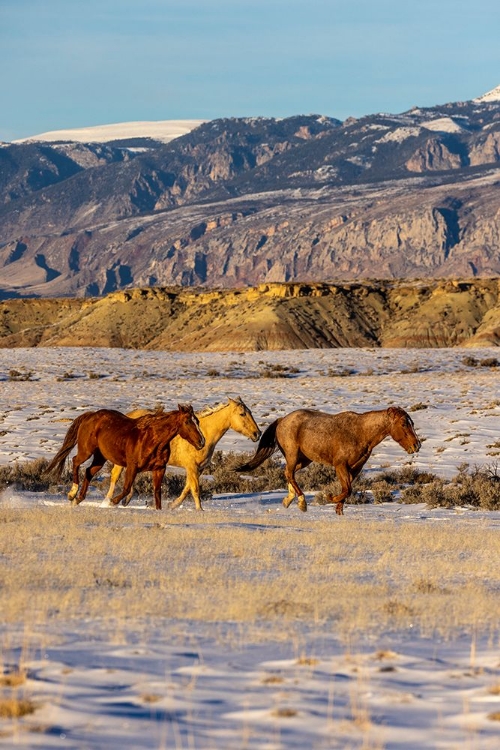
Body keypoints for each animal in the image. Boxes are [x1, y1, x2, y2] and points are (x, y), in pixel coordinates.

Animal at [45, 406, 205, 512]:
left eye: (197, 421)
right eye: (188, 422)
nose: (202, 442)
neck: (153, 439)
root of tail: (91, 415)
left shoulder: (159, 469)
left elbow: (157, 492)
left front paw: (158, 510)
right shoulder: (132, 466)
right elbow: (127, 488)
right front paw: (112, 502)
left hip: (100, 457)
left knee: (89, 471)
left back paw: (78, 499)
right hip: (86, 451)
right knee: (75, 461)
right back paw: (72, 493)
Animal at [105, 400, 262, 512]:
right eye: (242, 414)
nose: (257, 434)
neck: (204, 433)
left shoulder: (199, 468)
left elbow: (187, 488)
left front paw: (172, 505)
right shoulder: (191, 466)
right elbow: (195, 489)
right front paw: (200, 509)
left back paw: (125, 500)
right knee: (115, 476)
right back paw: (108, 501)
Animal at [236, 408, 420, 516]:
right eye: (404, 424)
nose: (416, 445)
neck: (360, 433)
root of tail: (283, 420)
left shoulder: (355, 468)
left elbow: (347, 490)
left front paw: (339, 510)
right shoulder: (340, 465)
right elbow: (347, 489)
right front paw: (330, 497)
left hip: (304, 460)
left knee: (289, 473)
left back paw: (288, 500)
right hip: (293, 455)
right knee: (289, 473)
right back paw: (302, 502)